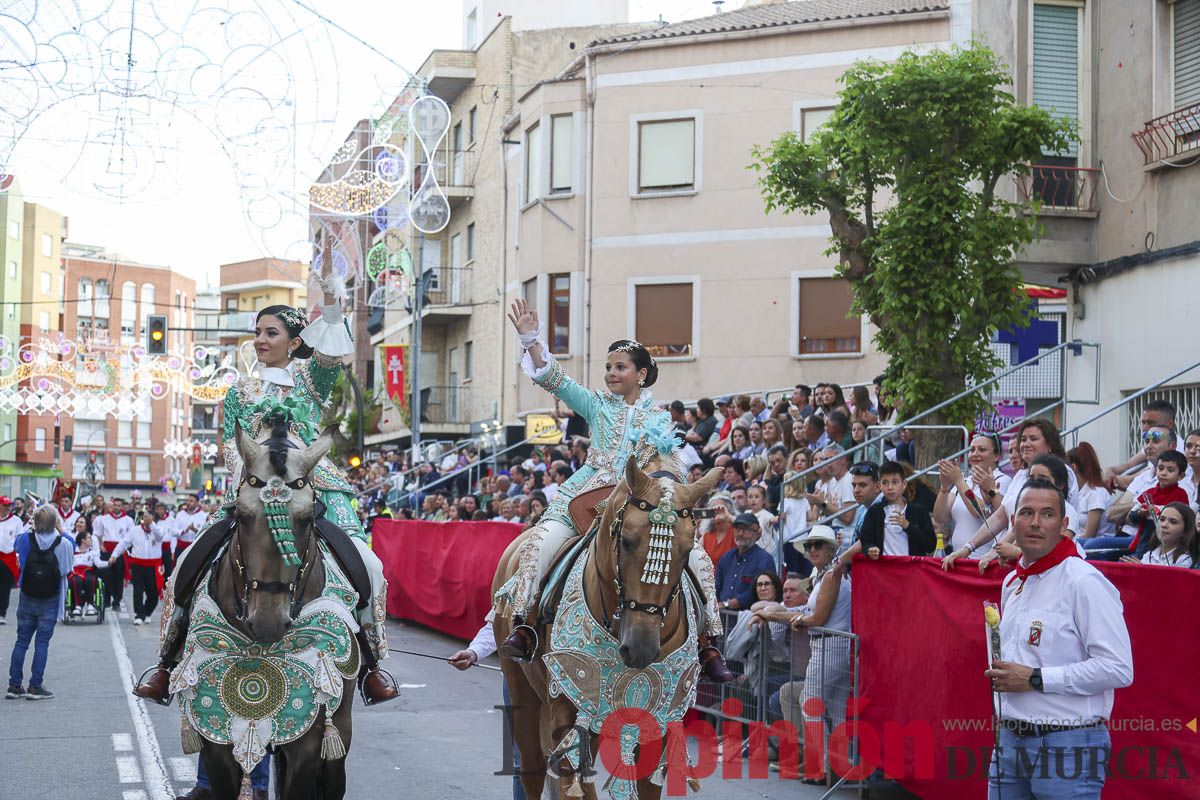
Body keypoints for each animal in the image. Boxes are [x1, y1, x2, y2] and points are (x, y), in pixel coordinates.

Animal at [196, 422, 352, 796]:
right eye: (241, 516)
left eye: (308, 518)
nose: (268, 622)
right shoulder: (215, 742)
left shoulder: (309, 741)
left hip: (341, 731)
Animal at [489, 455, 715, 800]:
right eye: (626, 541)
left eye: (687, 550)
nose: (640, 648)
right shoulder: (569, 715)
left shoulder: (657, 723)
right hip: (521, 692)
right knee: (532, 769)